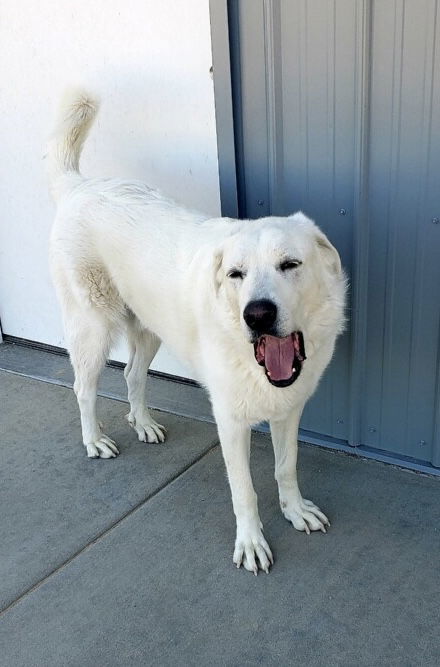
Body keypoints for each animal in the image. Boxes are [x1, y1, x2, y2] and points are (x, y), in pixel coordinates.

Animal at [46, 91, 346, 576]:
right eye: (236, 274)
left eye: (290, 264)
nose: (257, 315)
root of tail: (79, 186)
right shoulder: (231, 421)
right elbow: (244, 490)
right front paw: (251, 543)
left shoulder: (288, 410)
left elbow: (286, 468)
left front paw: (295, 510)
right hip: (92, 328)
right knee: (83, 388)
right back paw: (95, 440)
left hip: (149, 328)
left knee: (131, 374)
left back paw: (143, 423)